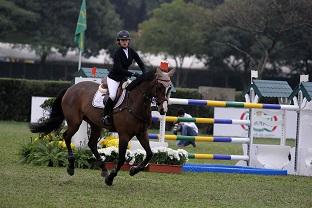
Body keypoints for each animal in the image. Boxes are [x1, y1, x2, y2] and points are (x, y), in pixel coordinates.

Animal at [29, 68, 174, 185]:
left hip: (95, 124)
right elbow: (121, 159)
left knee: (92, 144)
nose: (163, 110)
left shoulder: (141, 133)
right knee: (67, 137)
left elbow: (149, 154)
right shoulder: (124, 135)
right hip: (75, 122)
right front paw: (110, 178)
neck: (135, 102)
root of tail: (71, 88)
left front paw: (133, 170)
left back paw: (104, 170)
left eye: (170, 89)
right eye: (160, 87)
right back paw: (71, 167)